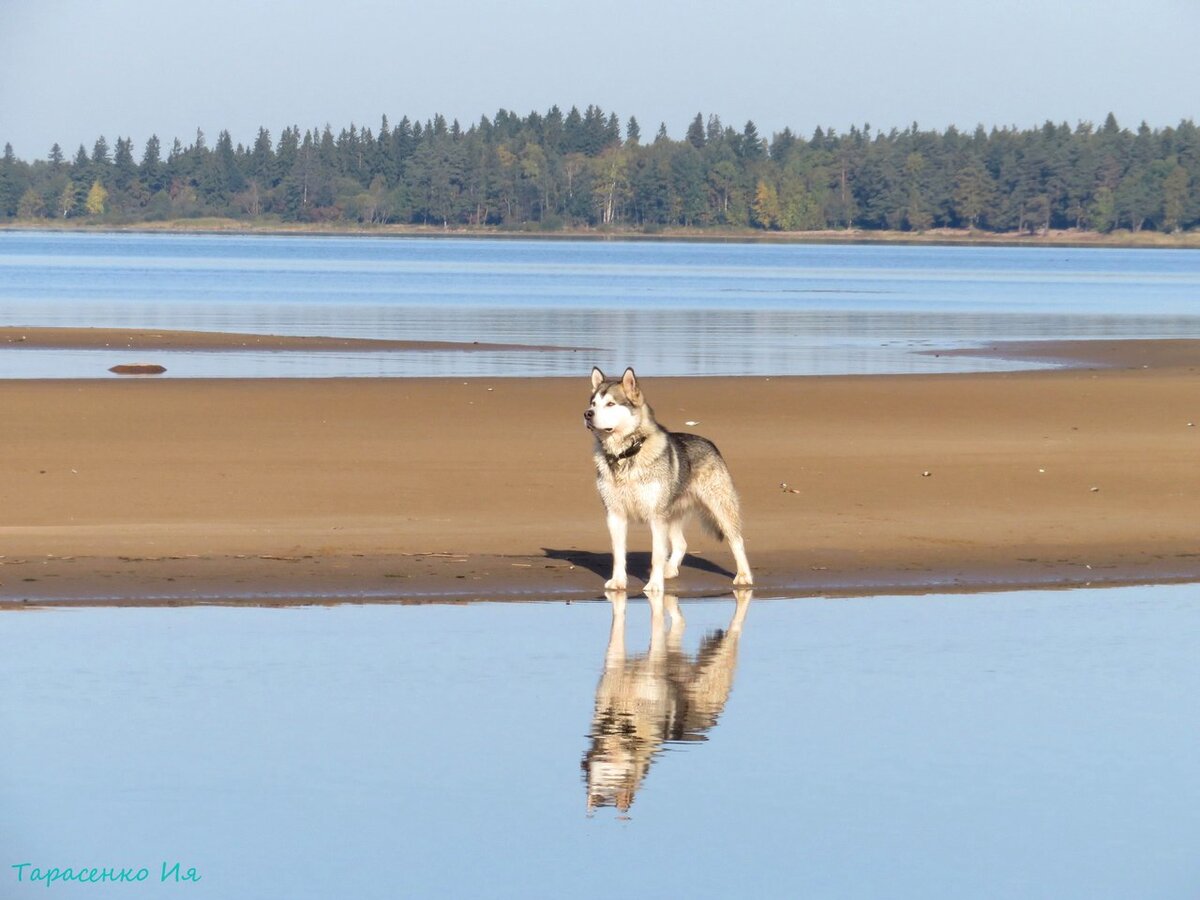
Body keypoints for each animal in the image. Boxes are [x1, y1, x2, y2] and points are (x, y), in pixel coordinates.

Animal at [580, 369, 748, 595]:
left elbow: (656, 555)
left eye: (610, 404)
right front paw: (618, 582)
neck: (626, 455)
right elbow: (618, 554)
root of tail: (711, 444)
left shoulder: (655, 517)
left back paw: (744, 576)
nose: (587, 414)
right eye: (593, 403)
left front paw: (654, 585)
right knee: (681, 544)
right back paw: (670, 569)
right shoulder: (615, 514)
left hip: (719, 507)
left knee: (737, 540)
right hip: (673, 515)